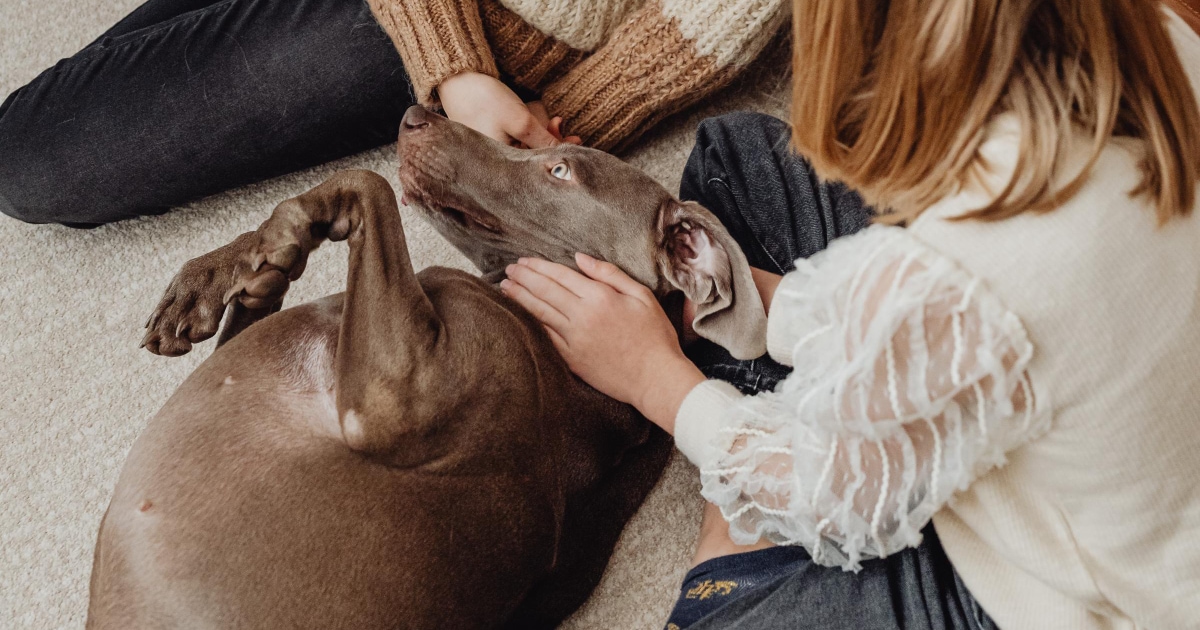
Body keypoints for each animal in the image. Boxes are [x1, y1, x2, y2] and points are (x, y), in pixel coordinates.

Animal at [88, 108, 768, 628]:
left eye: (560, 171)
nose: (416, 114)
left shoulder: (389, 397)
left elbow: (367, 180)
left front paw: (273, 247)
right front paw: (234, 272)